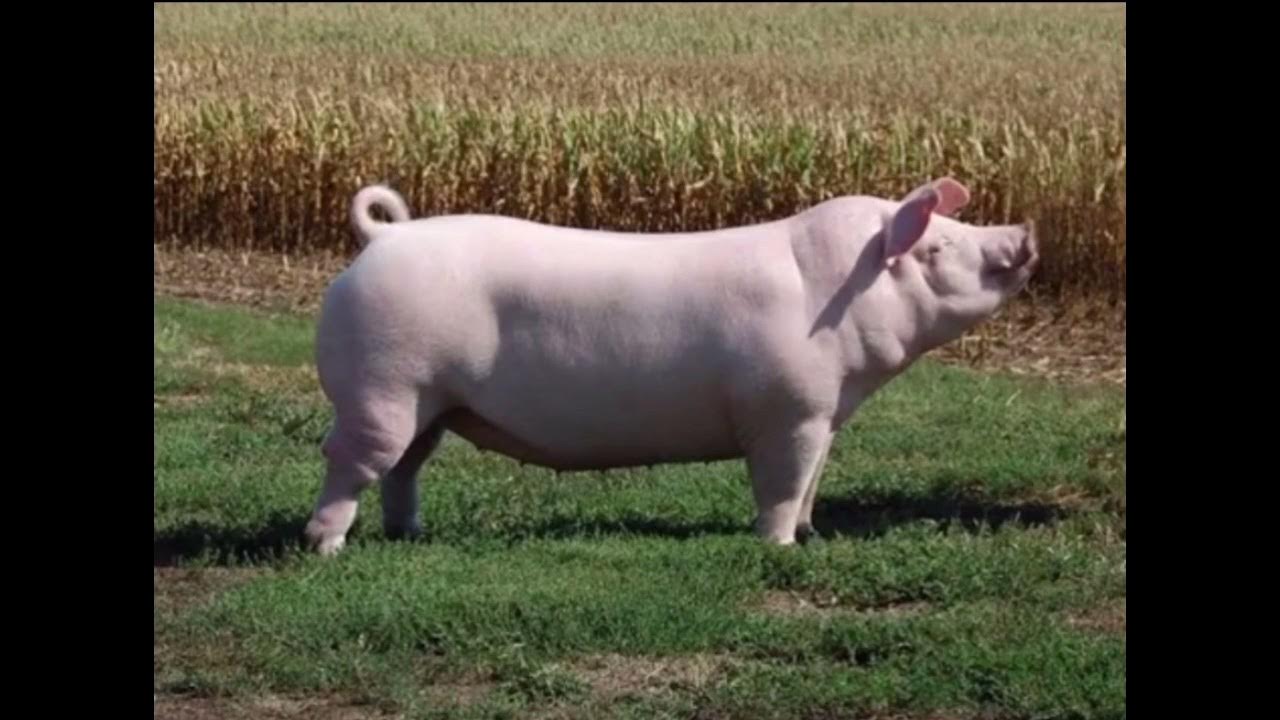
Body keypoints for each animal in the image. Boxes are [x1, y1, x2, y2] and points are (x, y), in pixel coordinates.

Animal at [304, 177, 1038, 555]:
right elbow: (781, 482)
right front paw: (779, 547)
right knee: (349, 461)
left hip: (428, 402)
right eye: (938, 248)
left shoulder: (824, 412)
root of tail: (386, 236)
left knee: (405, 468)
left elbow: (812, 481)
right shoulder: (787, 409)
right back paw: (327, 547)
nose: (1025, 232)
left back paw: (409, 534)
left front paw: (810, 532)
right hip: (382, 384)